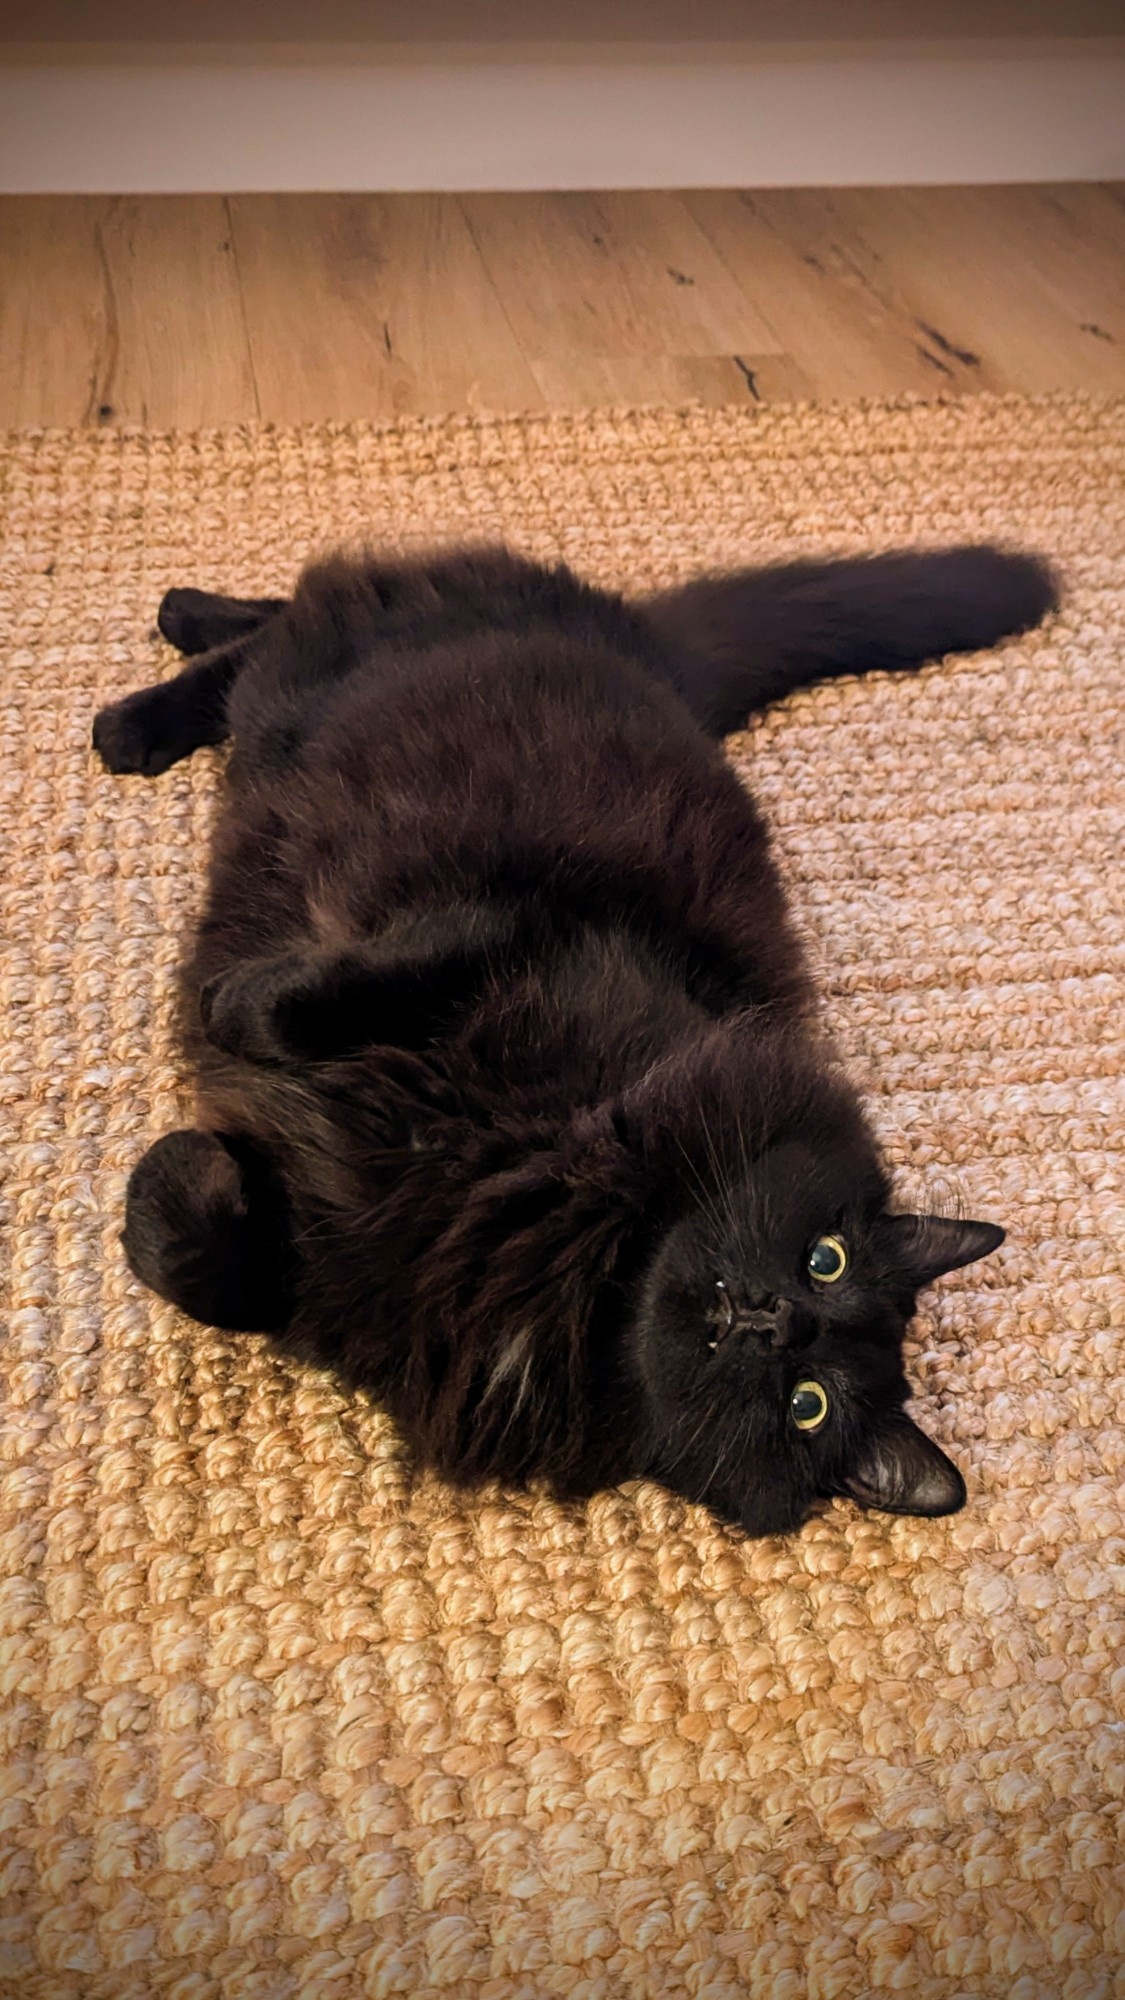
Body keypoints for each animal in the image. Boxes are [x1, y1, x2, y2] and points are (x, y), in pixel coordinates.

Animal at [94, 540, 1048, 1536]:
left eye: (807, 1403)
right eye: (825, 1261)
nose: (768, 1318)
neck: (564, 1222)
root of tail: (661, 655)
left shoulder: (347, 1274)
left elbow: (198, 1262)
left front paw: (181, 1166)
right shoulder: (518, 925)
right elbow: (305, 1006)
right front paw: (224, 1018)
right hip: (331, 677)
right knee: (275, 627)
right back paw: (147, 686)